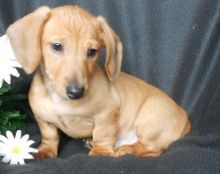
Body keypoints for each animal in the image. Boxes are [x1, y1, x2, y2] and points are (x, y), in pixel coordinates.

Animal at [6, 5, 191, 158]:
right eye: (57, 46)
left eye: (92, 52)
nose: (76, 92)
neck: (63, 101)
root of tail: (186, 119)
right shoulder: (43, 120)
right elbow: (49, 137)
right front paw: (45, 151)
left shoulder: (106, 115)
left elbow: (103, 134)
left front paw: (101, 152)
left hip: (149, 120)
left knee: (152, 149)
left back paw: (126, 150)